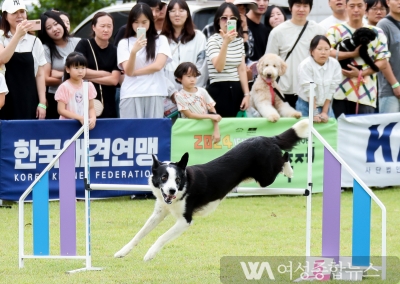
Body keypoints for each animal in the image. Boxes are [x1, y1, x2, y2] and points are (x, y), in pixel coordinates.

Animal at [114, 118, 308, 260]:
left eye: (177, 179)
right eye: (163, 178)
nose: (171, 191)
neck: (185, 186)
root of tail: (266, 138)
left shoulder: (185, 220)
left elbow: (162, 236)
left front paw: (150, 254)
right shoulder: (159, 213)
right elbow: (139, 233)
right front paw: (122, 251)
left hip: (265, 177)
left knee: (285, 157)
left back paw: (290, 170)